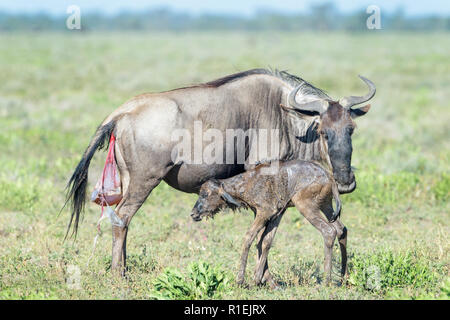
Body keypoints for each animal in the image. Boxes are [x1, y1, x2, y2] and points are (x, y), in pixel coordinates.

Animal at [191, 160, 348, 288]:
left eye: (205, 194)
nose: (193, 214)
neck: (247, 183)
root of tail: (328, 176)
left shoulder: (264, 213)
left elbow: (249, 238)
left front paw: (241, 280)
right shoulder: (276, 214)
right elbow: (265, 241)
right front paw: (258, 279)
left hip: (305, 205)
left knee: (328, 231)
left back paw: (326, 282)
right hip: (326, 206)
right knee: (341, 229)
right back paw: (342, 278)